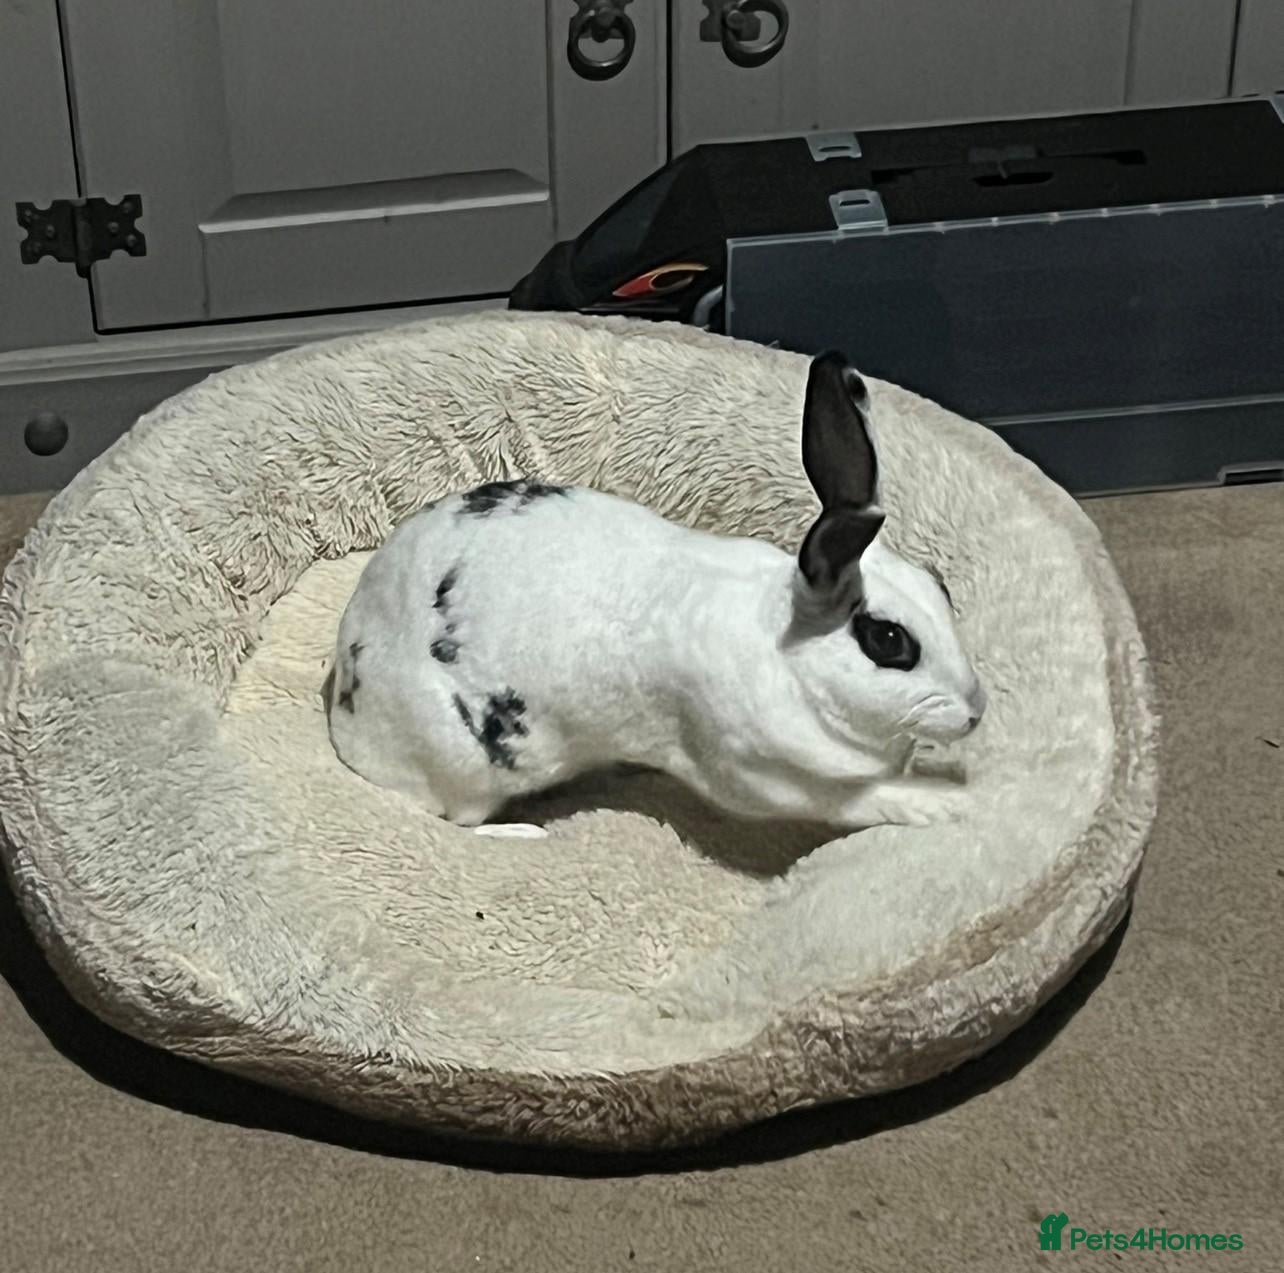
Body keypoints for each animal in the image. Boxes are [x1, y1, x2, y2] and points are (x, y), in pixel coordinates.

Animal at [326, 350, 987, 839]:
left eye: (942, 587)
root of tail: (343, 705)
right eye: (888, 639)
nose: (977, 711)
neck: (788, 650)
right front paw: (950, 804)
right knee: (458, 823)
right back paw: (525, 832)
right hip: (462, 766)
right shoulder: (762, 776)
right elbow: (864, 801)